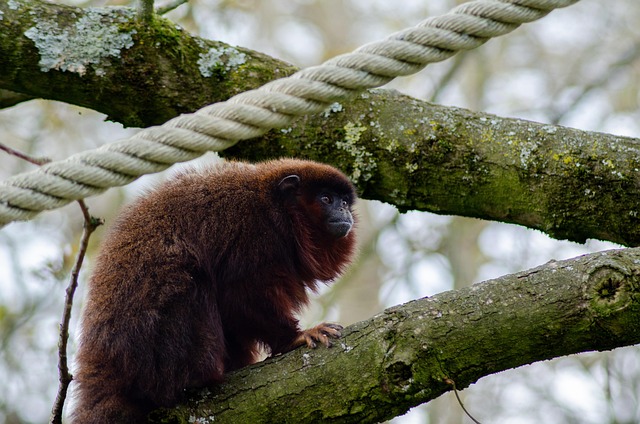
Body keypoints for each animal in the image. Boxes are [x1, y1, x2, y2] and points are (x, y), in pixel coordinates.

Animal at [70, 158, 357, 423]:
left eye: (344, 201)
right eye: (326, 199)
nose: (344, 211)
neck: (276, 211)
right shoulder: (251, 232)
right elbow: (240, 295)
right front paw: (293, 337)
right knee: (190, 279)